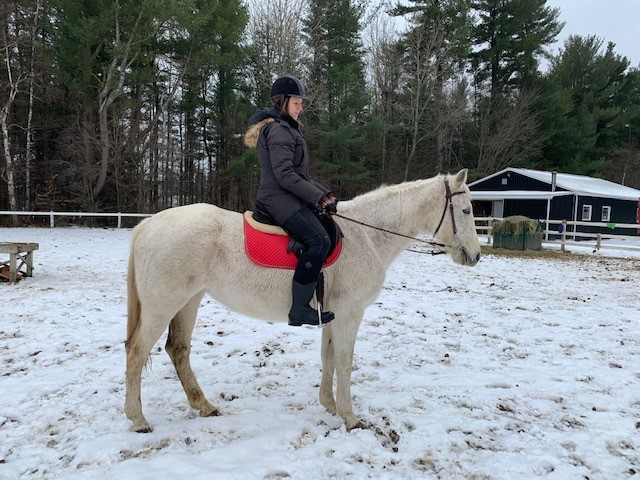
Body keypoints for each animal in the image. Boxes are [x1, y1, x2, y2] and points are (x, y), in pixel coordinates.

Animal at [124, 169, 481, 433]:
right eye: (466, 210)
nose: (476, 255)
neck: (367, 237)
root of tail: (148, 224)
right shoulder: (350, 313)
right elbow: (344, 361)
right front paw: (351, 418)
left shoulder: (331, 314)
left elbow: (328, 357)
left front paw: (329, 405)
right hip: (164, 304)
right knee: (137, 351)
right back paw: (138, 419)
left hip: (189, 300)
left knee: (178, 350)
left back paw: (204, 406)